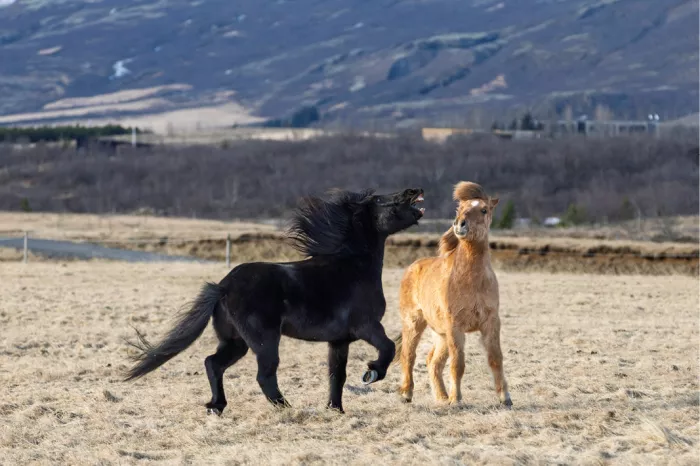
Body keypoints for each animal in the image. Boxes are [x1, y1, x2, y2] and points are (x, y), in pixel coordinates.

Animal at [124, 187, 426, 415]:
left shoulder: (339, 340)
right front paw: (371, 374)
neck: (353, 267)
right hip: (265, 340)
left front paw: (336, 410)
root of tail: (222, 287)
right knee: (264, 375)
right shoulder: (366, 326)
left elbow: (336, 375)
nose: (415, 192)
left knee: (213, 363)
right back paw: (287, 408)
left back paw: (216, 407)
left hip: (236, 341)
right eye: (382, 201)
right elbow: (388, 348)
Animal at [393, 181, 512, 407]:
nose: (460, 224)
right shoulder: (455, 327)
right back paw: (407, 393)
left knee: (433, 361)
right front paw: (456, 399)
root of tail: (412, 268)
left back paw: (441, 397)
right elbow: (458, 364)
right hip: (414, 323)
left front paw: (505, 398)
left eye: (484, 210)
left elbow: (495, 358)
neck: (472, 281)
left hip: (440, 335)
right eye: (460, 209)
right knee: (408, 356)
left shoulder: (490, 322)